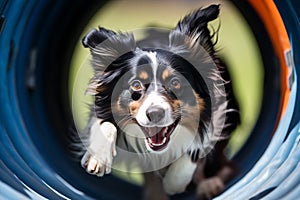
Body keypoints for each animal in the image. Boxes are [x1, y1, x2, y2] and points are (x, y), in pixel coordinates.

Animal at [79, 4, 239, 200]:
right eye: (136, 84)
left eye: (176, 83)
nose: (155, 114)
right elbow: (104, 124)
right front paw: (98, 158)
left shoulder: (217, 115)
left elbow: (194, 150)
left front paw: (175, 183)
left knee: (229, 166)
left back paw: (209, 184)